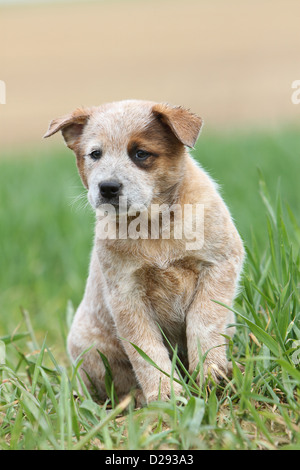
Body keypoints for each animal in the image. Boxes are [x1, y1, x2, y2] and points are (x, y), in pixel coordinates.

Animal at [45, 100, 246, 404]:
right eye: (95, 154)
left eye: (140, 154)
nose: (108, 187)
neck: (154, 225)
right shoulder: (126, 294)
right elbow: (146, 350)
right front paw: (164, 394)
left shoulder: (220, 262)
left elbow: (203, 319)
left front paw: (211, 373)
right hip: (90, 347)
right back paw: (137, 398)